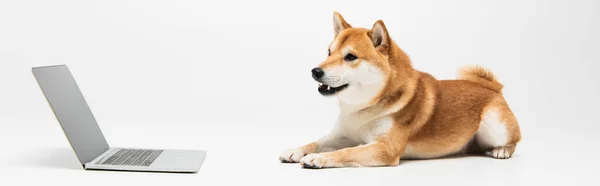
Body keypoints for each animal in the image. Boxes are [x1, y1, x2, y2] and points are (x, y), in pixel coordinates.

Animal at [280, 11, 520, 169]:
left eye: (350, 57)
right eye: (329, 52)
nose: (315, 71)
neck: (363, 109)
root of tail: (493, 89)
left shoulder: (385, 148)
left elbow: (346, 152)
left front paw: (318, 159)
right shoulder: (341, 135)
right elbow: (317, 141)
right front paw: (296, 150)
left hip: (495, 125)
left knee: (514, 140)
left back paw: (502, 150)